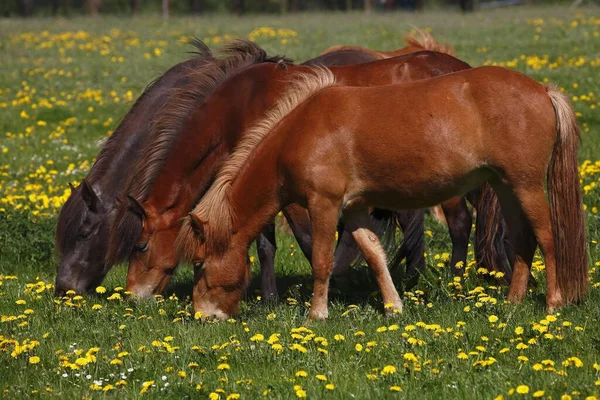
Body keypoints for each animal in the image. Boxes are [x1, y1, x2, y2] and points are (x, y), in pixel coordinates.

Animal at [106, 42, 474, 302]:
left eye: (140, 246)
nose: (133, 295)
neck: (238, 106)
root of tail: (461, 68)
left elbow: (309, 241)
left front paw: (331, 290)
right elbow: (265, 244)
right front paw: (270, 297)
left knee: (459, 223)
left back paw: (455, 284)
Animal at [178, 66, 584, 322]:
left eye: (199, 264)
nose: (202, 316)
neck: (300, 133)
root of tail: (542, 91)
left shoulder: (324, 205)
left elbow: (322, 260)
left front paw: (316, 314)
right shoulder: (353, 209)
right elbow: (374, 254)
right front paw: (393, 306)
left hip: (526, 184)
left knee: (548, 238)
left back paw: (552, 303)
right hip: (505, 186)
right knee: (523, 240)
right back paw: (513, 302)